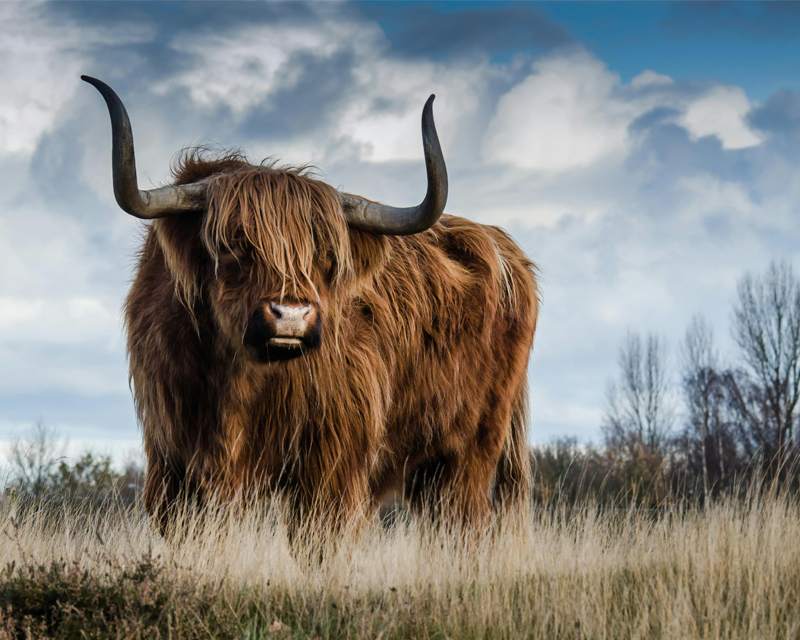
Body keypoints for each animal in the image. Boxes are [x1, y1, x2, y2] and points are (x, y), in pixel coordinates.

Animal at [82, 76, 539, 534]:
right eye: (234, 246)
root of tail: (504, 247)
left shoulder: (332, 463)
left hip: (469, 453)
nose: (291, 316)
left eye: (327, 256)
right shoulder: (173, 461)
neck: (238, 382)